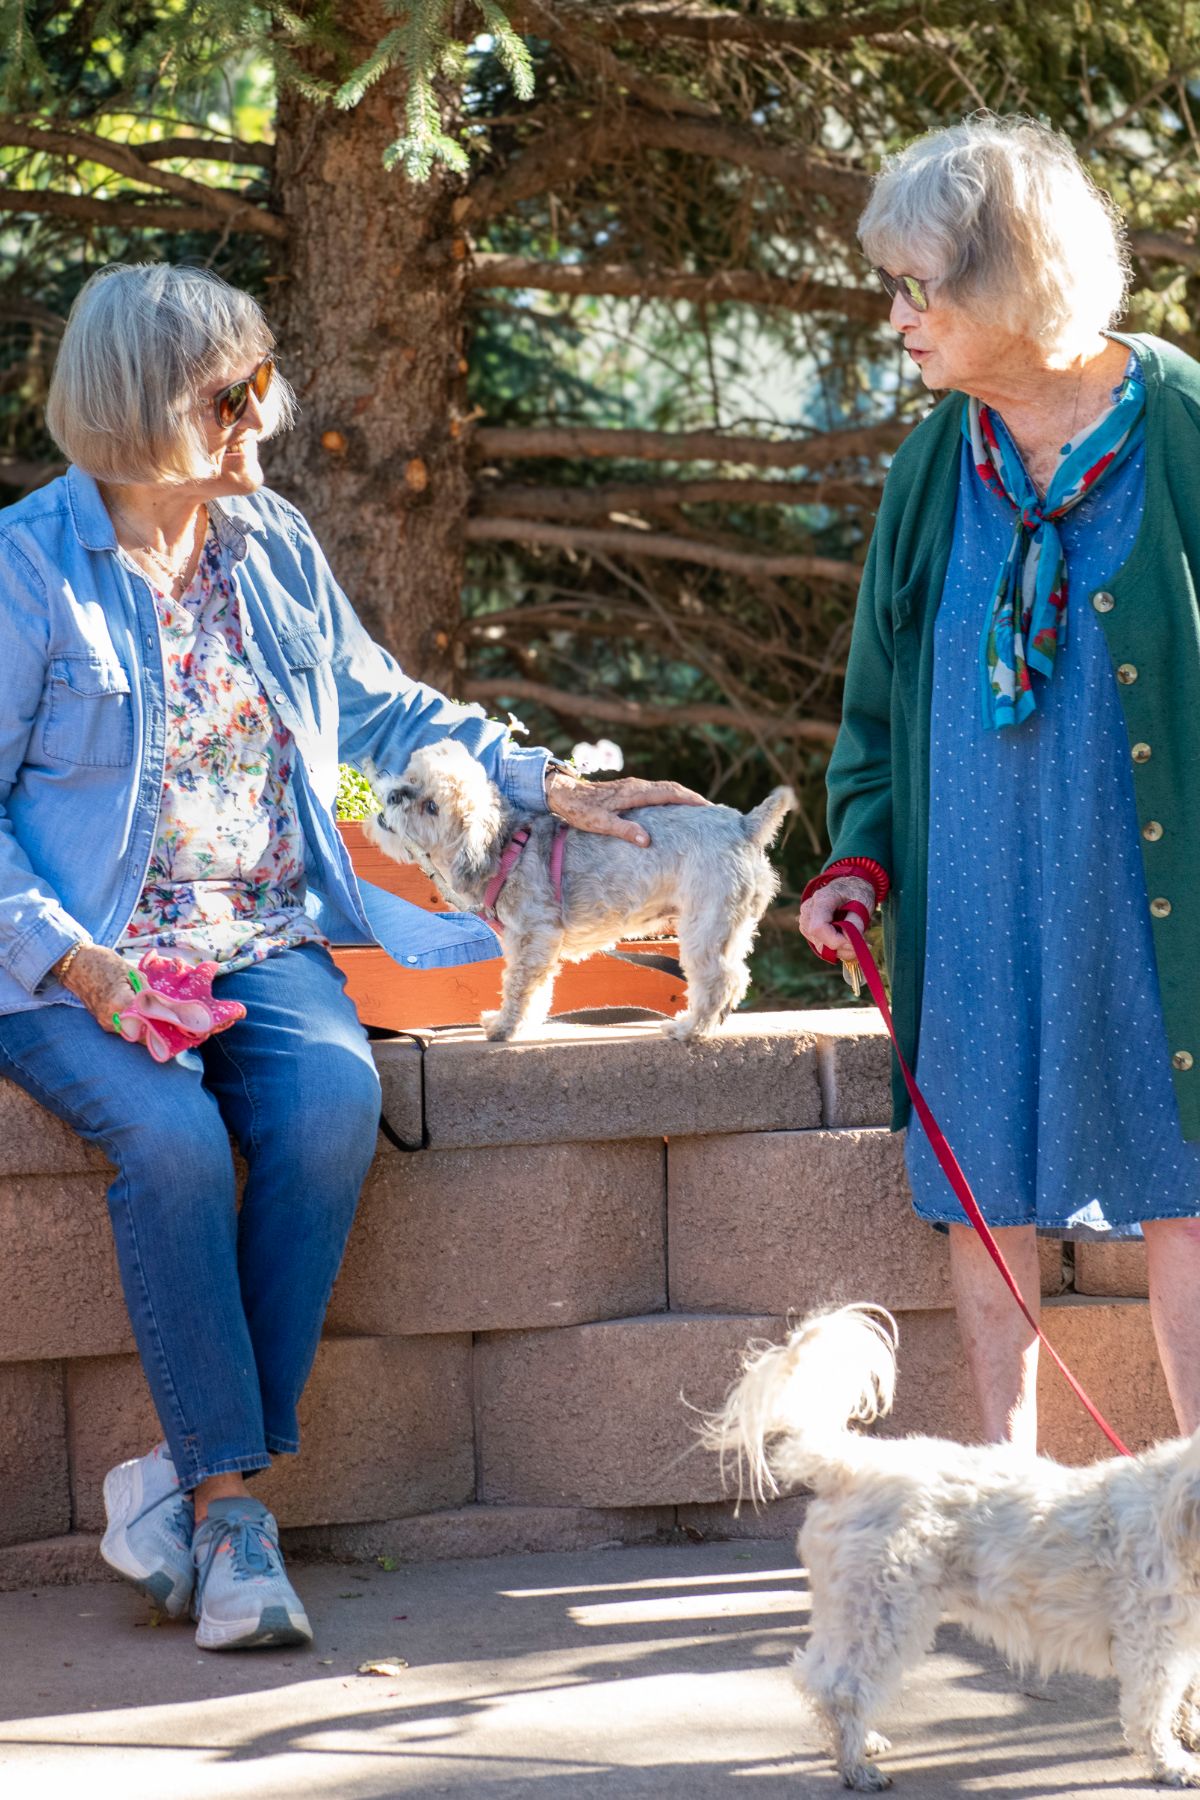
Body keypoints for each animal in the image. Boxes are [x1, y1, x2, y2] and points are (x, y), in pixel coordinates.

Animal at [367, 734, 798, 1044]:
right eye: (411, 778)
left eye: (432, 807)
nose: (395, 794)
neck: (506, 849)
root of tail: (744, 824)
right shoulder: (531, 945)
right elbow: (538, 990)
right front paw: (522, 1025)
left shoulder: (535, 937)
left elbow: (519, 987)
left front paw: (506, 1027)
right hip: (729, 927)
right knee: (735, 978)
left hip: (704, 927)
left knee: (720, 980)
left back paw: (689, 1030)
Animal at [708, 1310, 1200, 1785]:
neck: (1178, 1513)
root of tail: (852, 1462)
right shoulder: (1154, 1643)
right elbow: (1154, 1709)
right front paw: (1171, 1763)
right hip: (882, 1613)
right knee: (842, 1685)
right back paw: (855, 1766)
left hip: (851, 1610)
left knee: (819, 1674)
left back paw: (861, 1742)